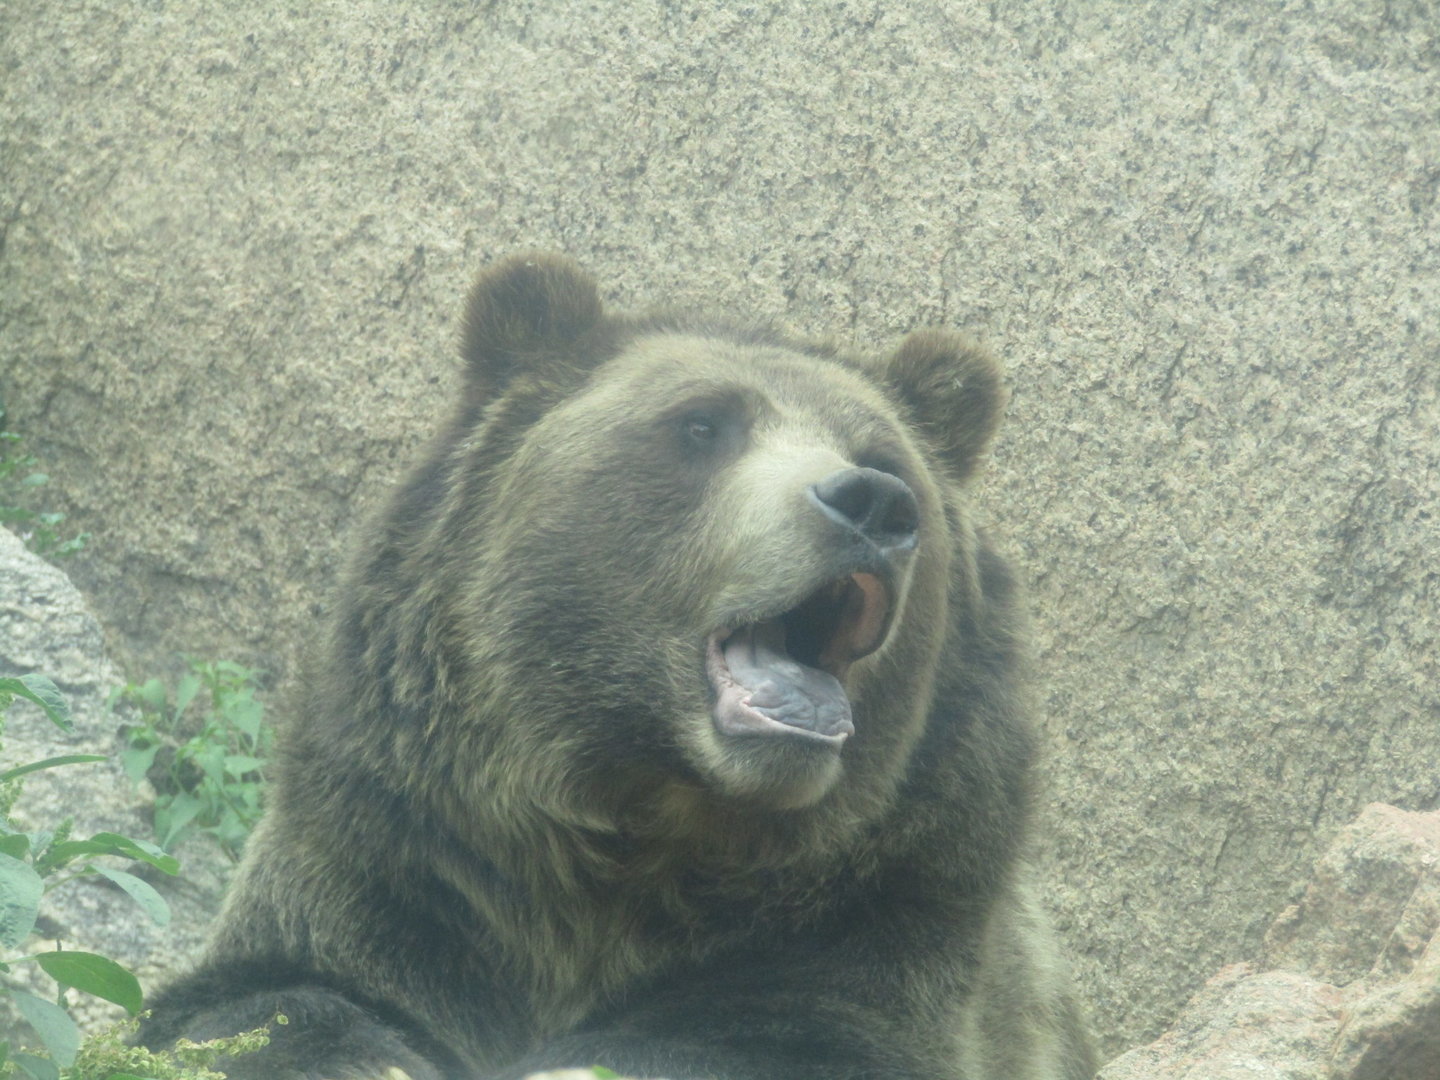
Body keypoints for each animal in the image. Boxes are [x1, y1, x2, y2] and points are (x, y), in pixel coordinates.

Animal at [140, 253, 1097, 1080]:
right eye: (703, 424)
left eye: (886, 457)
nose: (871, 503)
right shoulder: (407, 849)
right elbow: (258, 996)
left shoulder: (888, 905)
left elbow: (787, 1038)